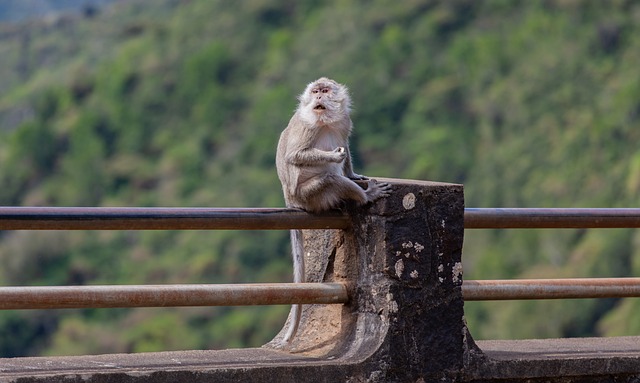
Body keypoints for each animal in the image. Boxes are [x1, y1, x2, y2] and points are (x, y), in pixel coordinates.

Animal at [274, 76, 390, 344]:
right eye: (315, 91)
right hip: (311, 194)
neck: (324, 121)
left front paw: (354, 174)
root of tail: (291, 198)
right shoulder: (307, 125)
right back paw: (365, 196)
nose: (318, 97)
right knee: (330, 179)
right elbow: (295, 156)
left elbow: (344, 144)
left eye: (325, 91)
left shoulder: (345, 121)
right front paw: (333, 157)